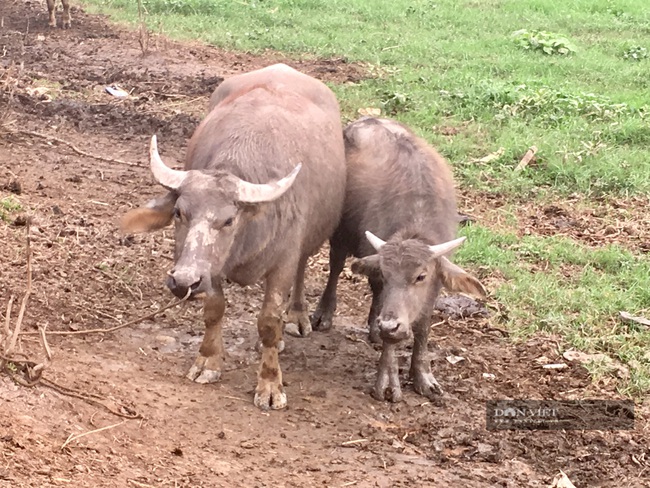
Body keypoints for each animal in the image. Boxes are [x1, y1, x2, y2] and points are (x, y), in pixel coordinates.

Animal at [119, 63, 346, 408]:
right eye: (179, 212)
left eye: (228, 220)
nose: (183, 281)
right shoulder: (209, 269)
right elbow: (214, 310)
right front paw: (207, 362)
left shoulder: (283, 261)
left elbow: (269, 322)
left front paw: (270, 385)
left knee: (302, 268)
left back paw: (296, 317)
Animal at [312, 116, 484, 402]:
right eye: (385, 273)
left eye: (421, 276)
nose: (389, 323)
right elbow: (391, 336)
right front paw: (387, 380)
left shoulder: (434, 285)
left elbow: (424, 326)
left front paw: (424, 376)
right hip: (339, 230)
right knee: (336, 266)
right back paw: (323, 315)